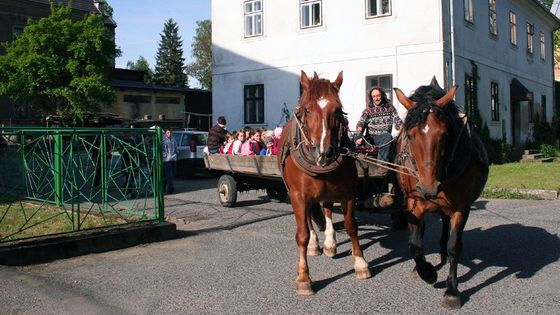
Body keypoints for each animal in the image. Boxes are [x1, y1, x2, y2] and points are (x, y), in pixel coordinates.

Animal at [276, 71, 372, 296]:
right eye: (307, 109)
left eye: (337, 110)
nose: (325, 152)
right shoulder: (298, 196)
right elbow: (302, 234)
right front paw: (303, 277)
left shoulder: (348, 193)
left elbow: (351, 226)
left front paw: (360, 263)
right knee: (308, 220)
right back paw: (314, 245)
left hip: (329, 192)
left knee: (327, 209)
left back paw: (330, 243)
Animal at [392, 79, 488, 312]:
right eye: (410, 135)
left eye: (444, 135)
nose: (429, 187)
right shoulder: (413, 203)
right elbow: (415, 244)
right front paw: (426, 272)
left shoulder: (460, 208)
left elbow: (455, 246)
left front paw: (452, 290)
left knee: (445, 227)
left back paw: (442, 253)